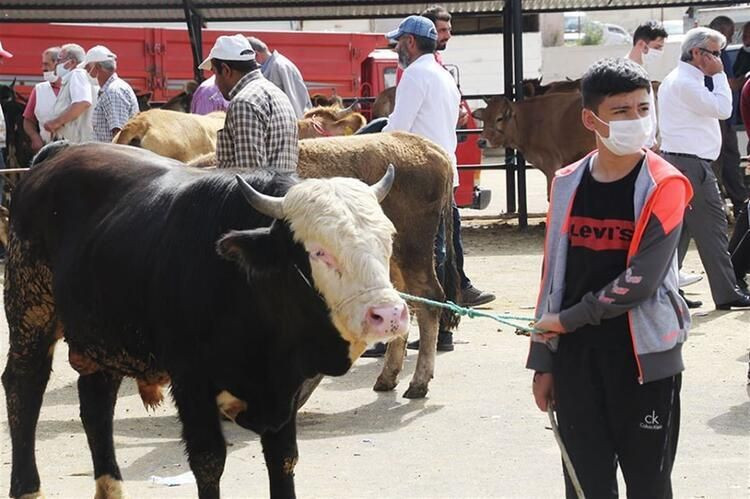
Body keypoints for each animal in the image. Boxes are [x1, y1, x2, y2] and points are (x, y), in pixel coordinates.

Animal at [1, 142, 394, 499]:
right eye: (318, 251)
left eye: (387, 240)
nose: (388, 315)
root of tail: (56, 154)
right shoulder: (191, 384)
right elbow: (208, 462)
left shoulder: (285, 391)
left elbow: (283, 459)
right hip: (31, 312)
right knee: (24, 385)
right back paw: (28, 488)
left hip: (102, 337)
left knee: (97, 404)